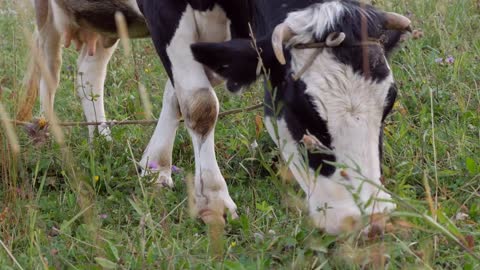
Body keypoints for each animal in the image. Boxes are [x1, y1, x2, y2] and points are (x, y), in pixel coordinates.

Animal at [31, 0, 412, 234]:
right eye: (302, 109)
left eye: (388, 102)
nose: (369, 220)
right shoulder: (165, 12)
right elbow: (200, 104)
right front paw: (212, 201)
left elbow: (177, 96)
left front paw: (155, 166)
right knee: (48, 70)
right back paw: (45, 135)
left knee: (89, 72)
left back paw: (101, 139)